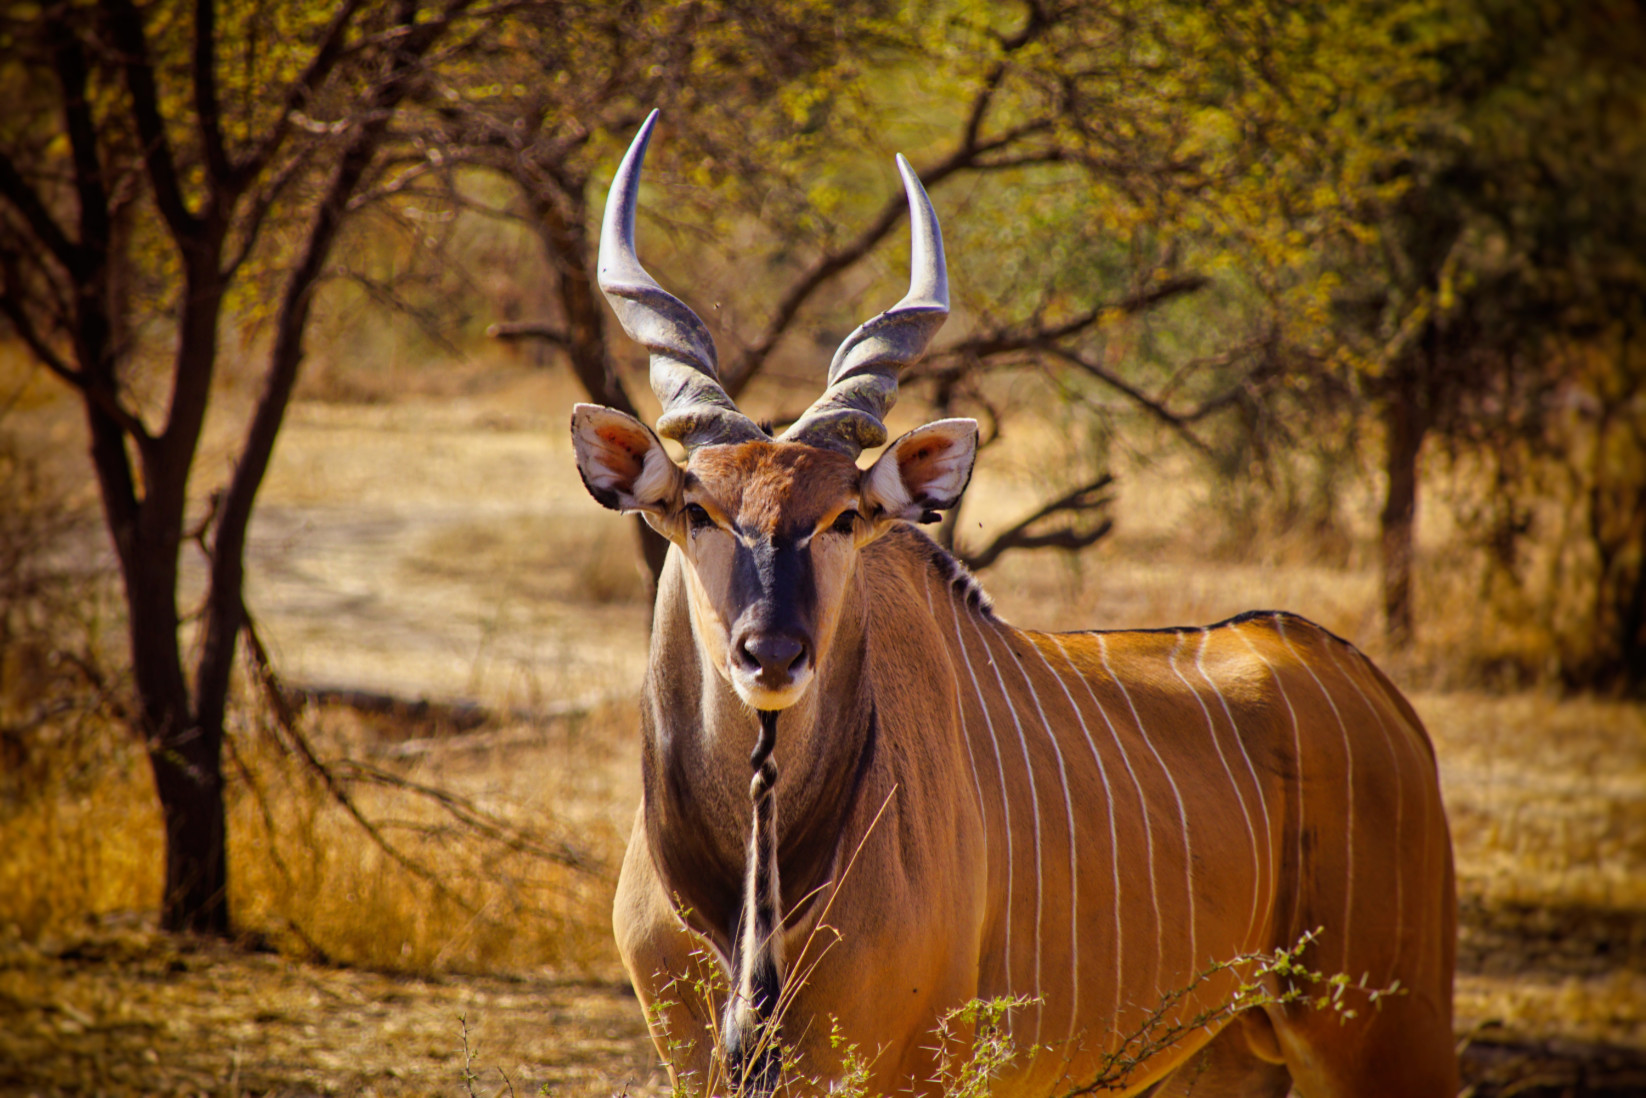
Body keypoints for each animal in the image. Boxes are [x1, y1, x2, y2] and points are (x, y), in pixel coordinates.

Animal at [572, 113, 1461, 1098]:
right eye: (697, 510)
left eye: (844, 515)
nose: (773, 653)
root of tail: (1376, 692)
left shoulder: (911, 1068)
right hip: (1229, 1053)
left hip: (1387, 1035)